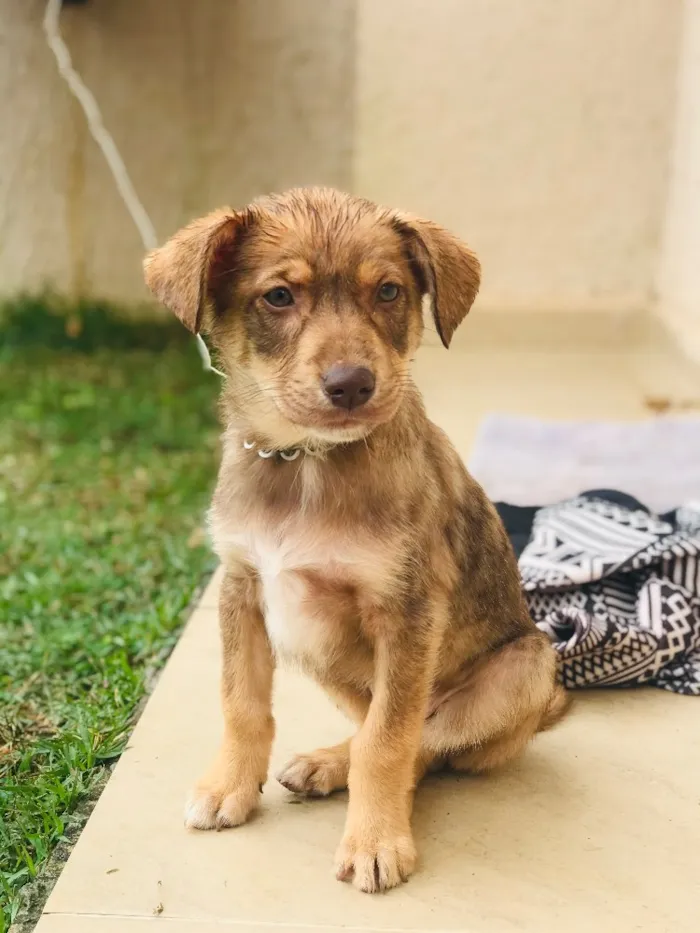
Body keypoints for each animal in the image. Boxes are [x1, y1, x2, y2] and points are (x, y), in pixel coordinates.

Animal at [144, 186, 568, 892]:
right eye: (279, 296)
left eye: (389, 291)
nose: (352, 385)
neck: (305, 460)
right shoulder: (243, 586)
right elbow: (242, 702)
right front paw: (230, 787)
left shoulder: (408, 611)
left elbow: (388, 741)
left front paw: (375, 841)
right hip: (316, 646)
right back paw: (326, 763)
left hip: (527, 667)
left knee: (427, 739)